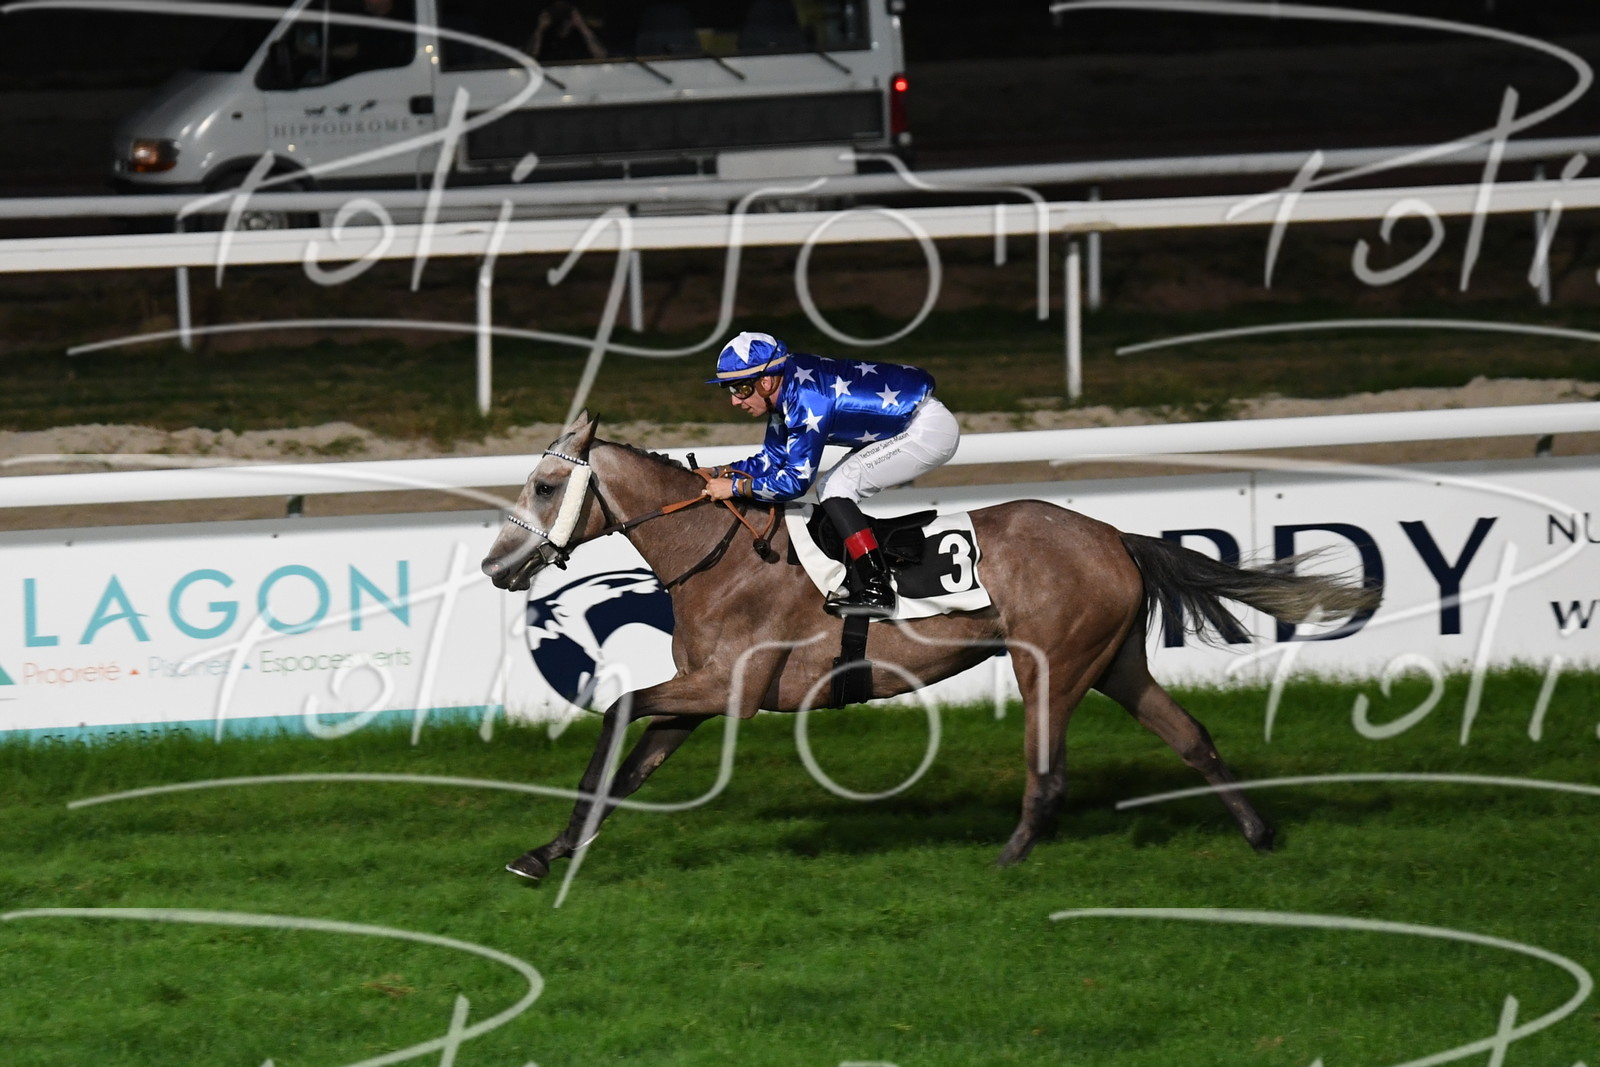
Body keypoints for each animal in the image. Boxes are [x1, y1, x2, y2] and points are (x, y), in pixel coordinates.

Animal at [481, 413, 1380, 879]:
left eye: (547, 485)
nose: (496, 564)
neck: (723, 554)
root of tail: (1112, 535)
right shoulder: (700, 694)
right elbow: (629, 765)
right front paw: (552, 850)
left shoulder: (732, 688)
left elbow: (615, 715)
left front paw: (554, 848)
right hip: (1115, 661)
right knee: (1192, 736)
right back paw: (1259, 834)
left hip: (1051, 665)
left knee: (1049, 771)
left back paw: (1009, 857)